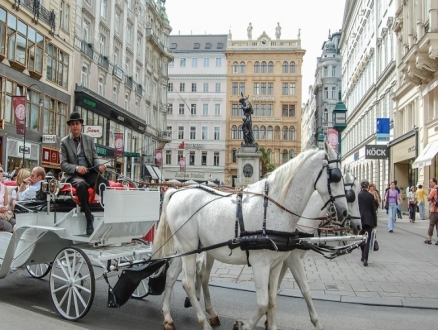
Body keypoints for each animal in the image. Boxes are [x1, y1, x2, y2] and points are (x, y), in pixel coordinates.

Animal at [152, 146, 348, 330]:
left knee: (172, 276)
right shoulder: (260, 264)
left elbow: (272, 299)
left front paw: (271, 325)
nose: (344, 212)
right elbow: (262, 303)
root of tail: (177, 192)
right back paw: (204, 322)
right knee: (187, 283)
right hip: (189, 248)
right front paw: (243, 325)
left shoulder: (276, 264)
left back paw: (168, 317)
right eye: (336, 176)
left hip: (186, 249)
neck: (275, 207)